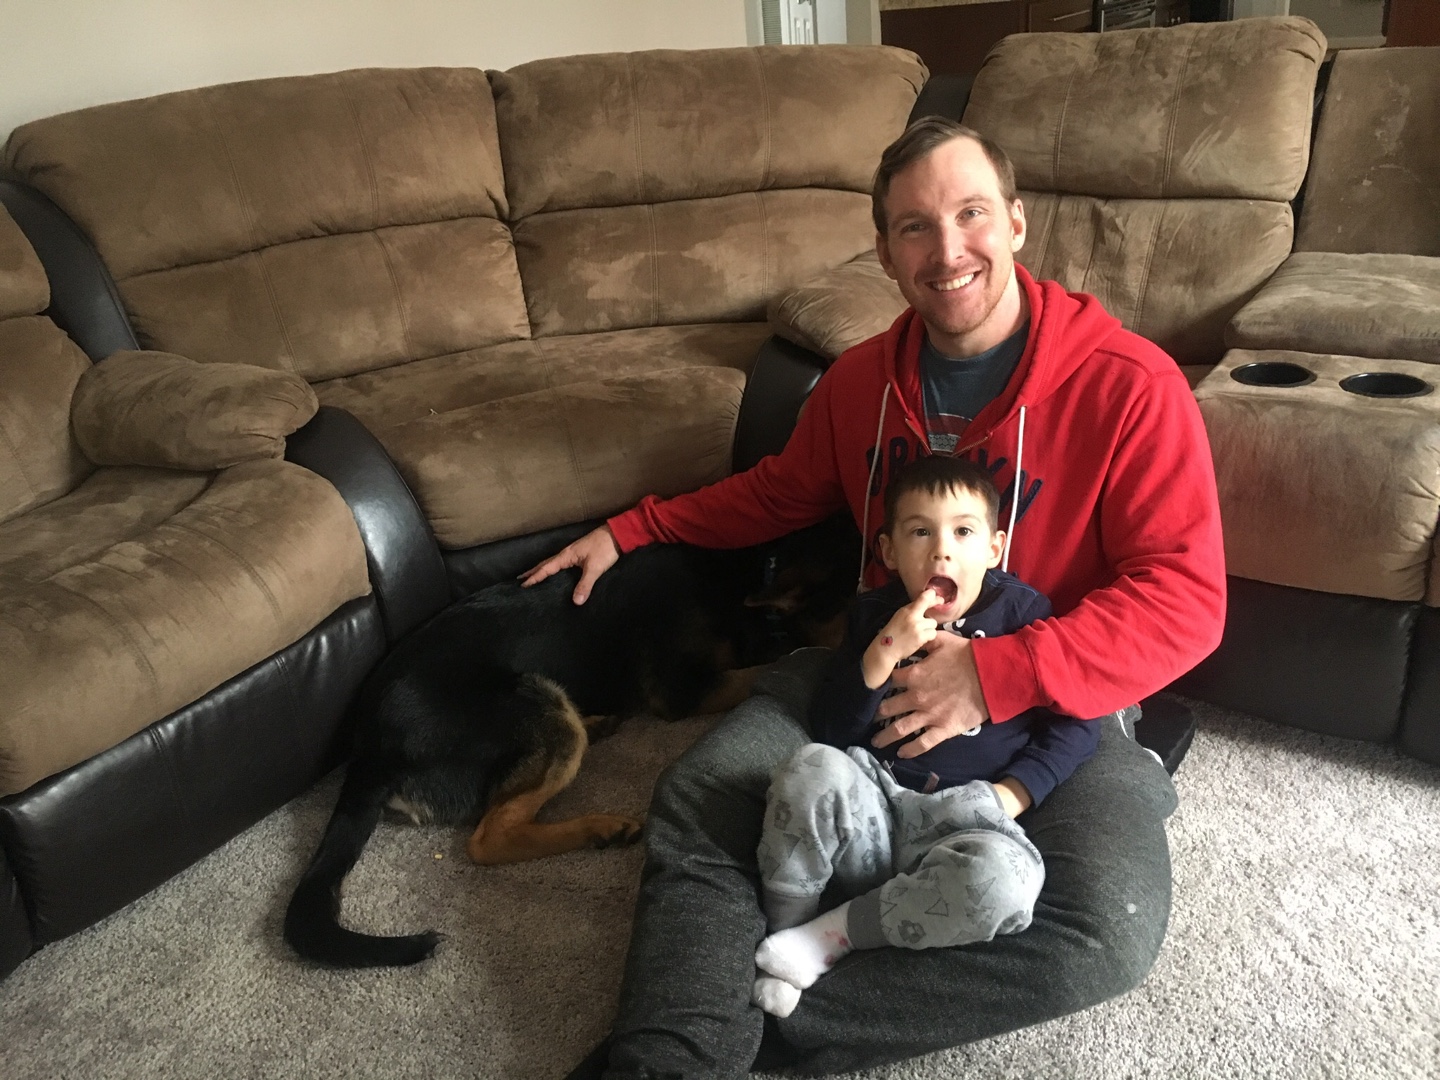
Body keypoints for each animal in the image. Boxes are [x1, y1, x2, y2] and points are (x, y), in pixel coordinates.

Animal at [283, 516, 858, 969]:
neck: (751, 570)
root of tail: (368, 751)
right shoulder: (682, 689)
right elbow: (776, 664)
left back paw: (600, 725)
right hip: (540, 708)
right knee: (490, 838)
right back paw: (597, 827)